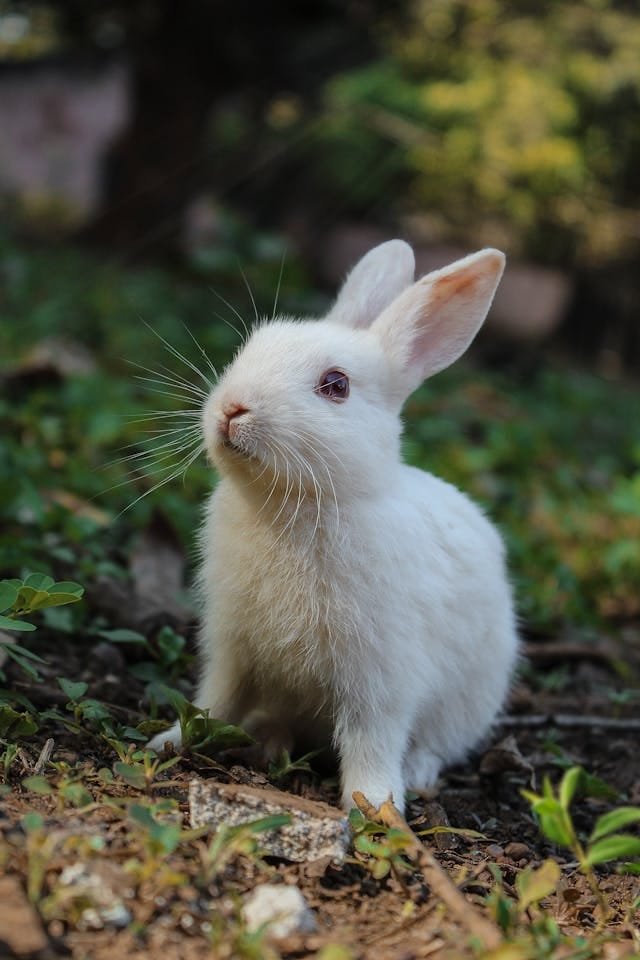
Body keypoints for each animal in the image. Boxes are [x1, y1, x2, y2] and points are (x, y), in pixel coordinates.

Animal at [149, 240, 519, 811]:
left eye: (336, 385)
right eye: (250, 348)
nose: (232, 408)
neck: (295, 504)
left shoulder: (380, 677)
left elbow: (372, 739)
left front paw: (375, 806)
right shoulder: (231, 646)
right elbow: (215, 700)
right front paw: (170, 741)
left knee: (436, 743)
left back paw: (417, 773)